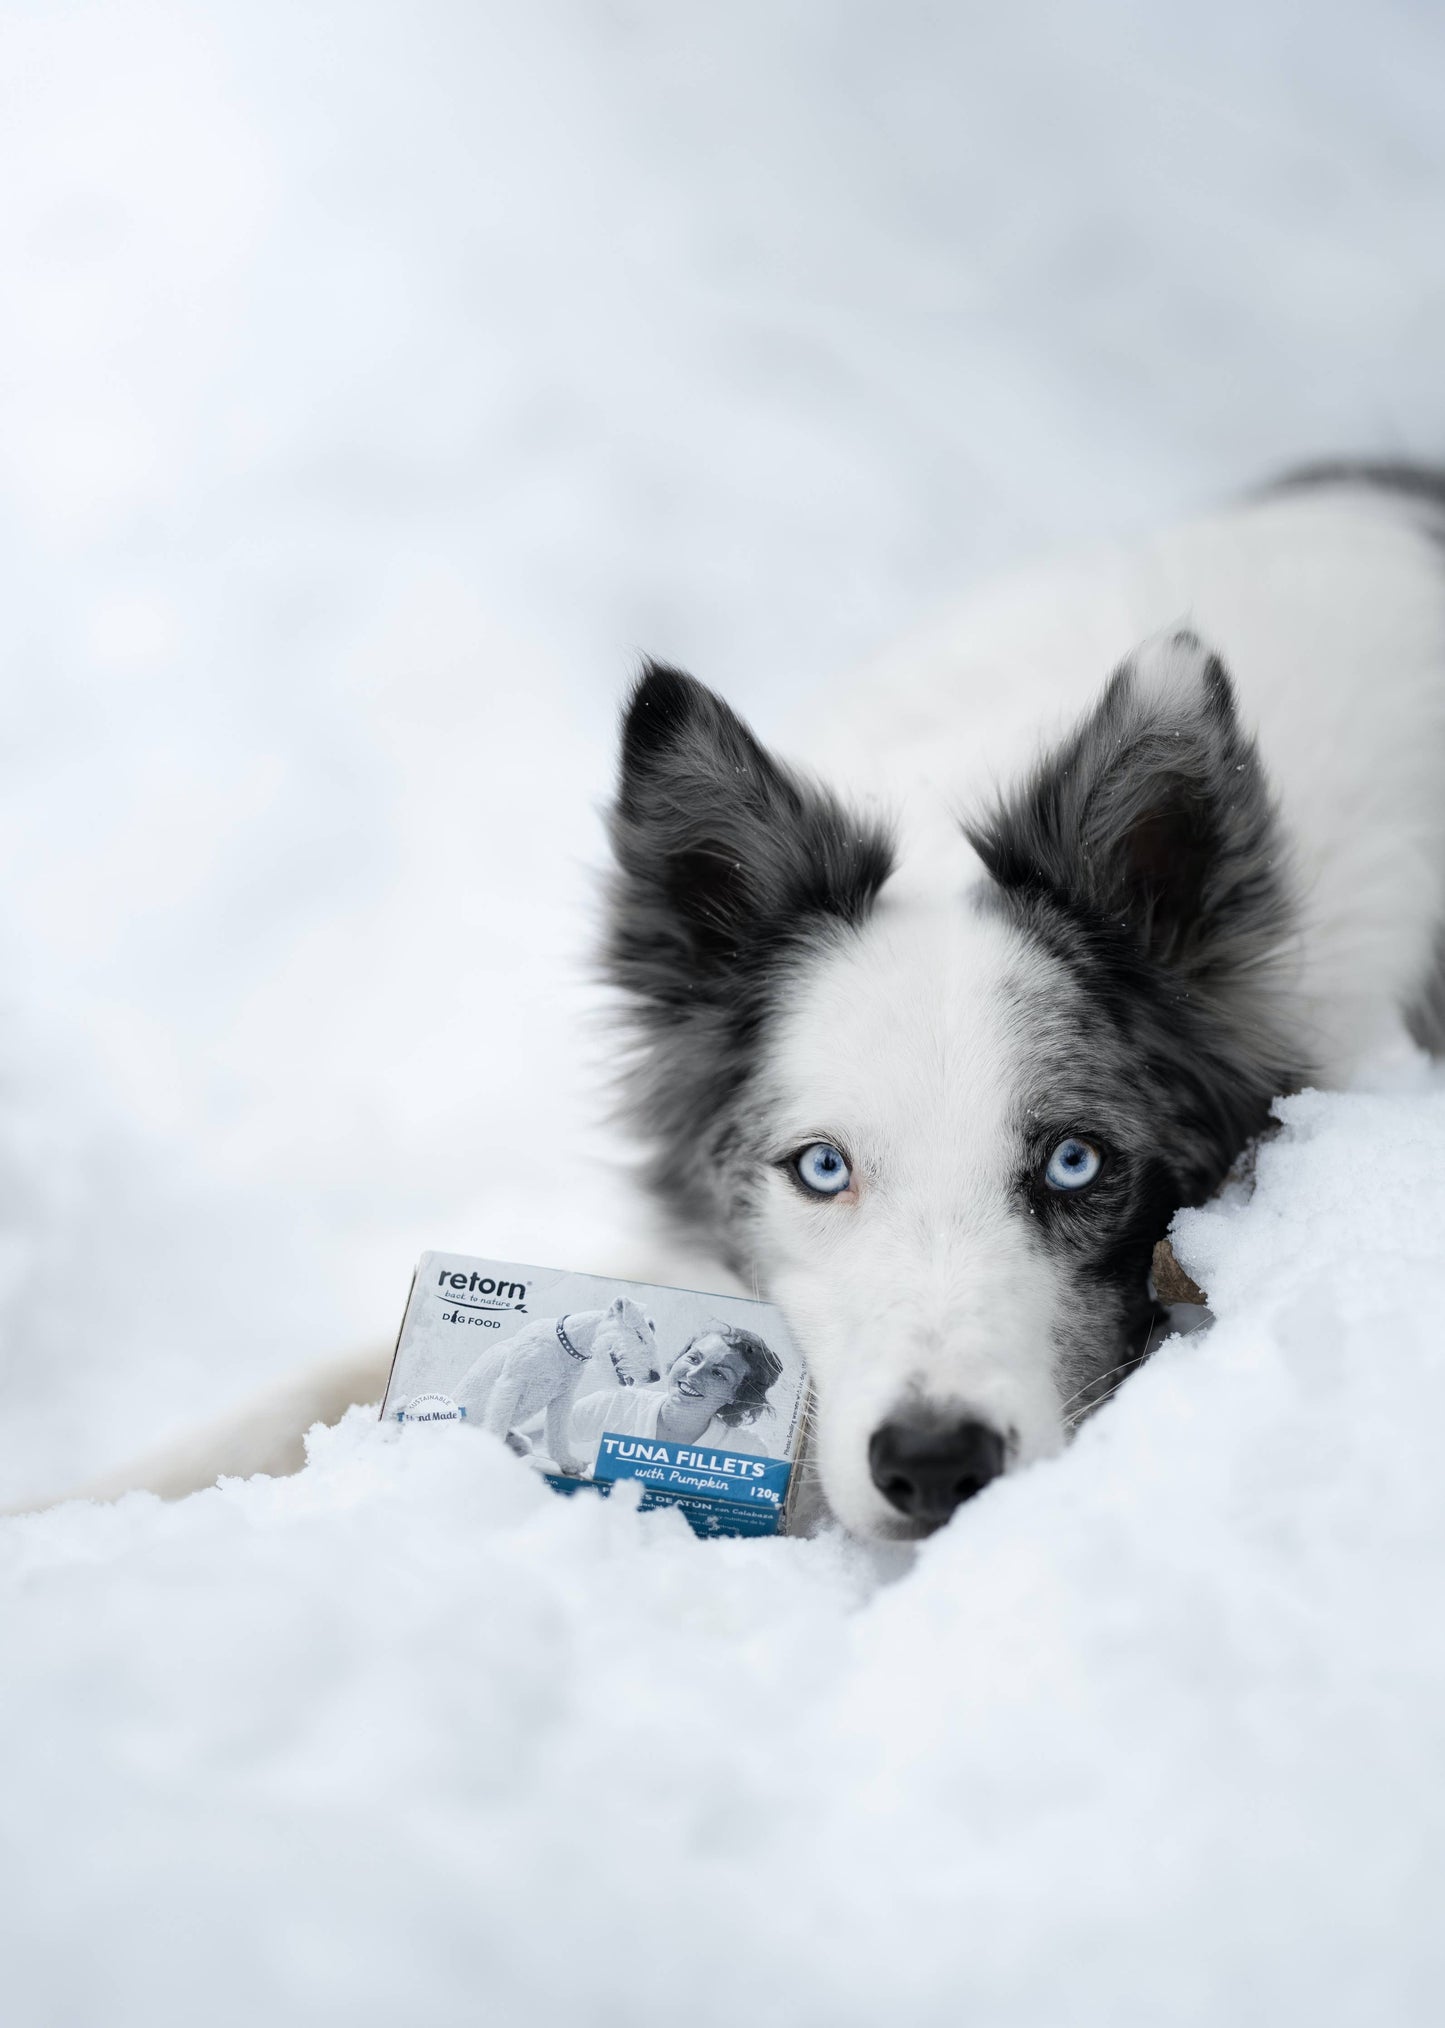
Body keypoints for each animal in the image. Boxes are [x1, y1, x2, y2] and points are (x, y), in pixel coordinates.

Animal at [453, 1297, 656, 1476]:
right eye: (639, 1335)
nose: (655, 1376)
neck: (565, 1345)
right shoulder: (511, 1384)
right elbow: (498, 1423)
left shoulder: (562, 1397)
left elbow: (557, 1434)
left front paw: (569, 1463)